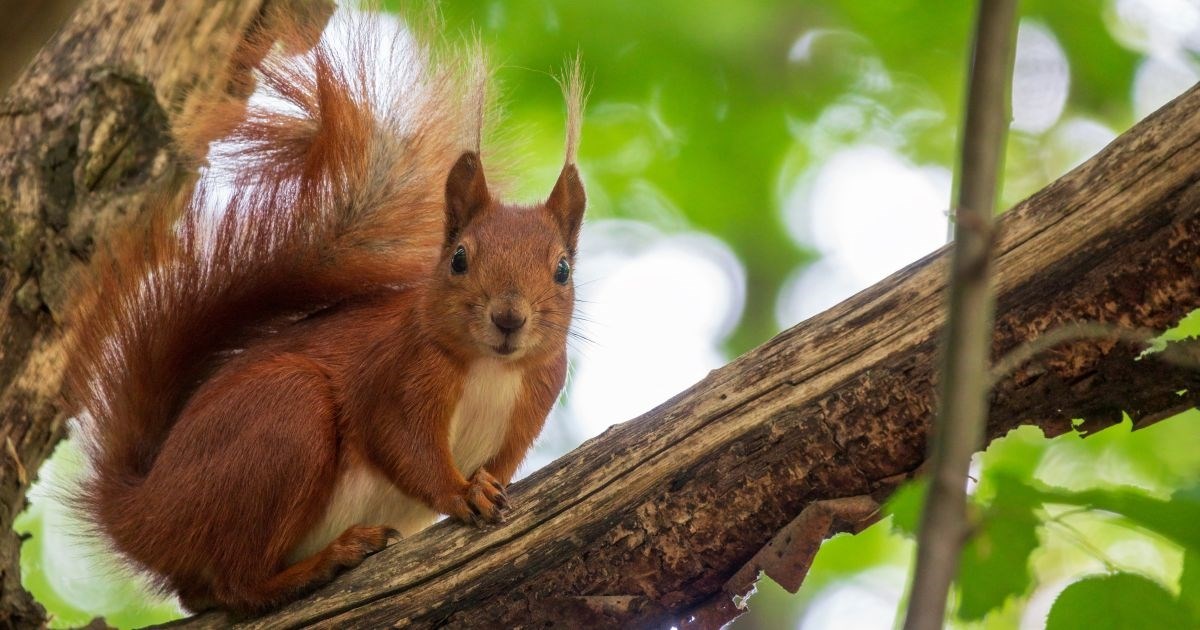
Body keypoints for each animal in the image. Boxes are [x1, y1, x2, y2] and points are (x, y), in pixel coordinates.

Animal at [62, 7, 585, 612]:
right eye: (458, 258)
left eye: (562, 270)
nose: (508, 318)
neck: (491, 368)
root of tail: (144, 511)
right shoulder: (397, 373)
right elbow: (403, 446)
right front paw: (460, 493)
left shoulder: (536, 398)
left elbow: (497, 464)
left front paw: (486, 486)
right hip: (287, 414)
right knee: (239, 585)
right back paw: (327, 560)